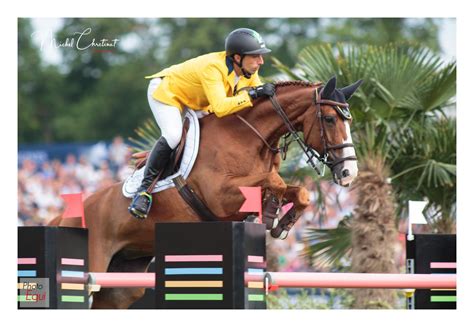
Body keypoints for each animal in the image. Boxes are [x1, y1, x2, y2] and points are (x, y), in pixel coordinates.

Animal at [49, 75, 362, 308]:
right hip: (92, 266)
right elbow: (275, 180)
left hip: (122, 285)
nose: (349, 173)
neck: (248, 137)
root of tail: (61, 218)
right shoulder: (220, 196)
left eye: (349, 121)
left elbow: (298, 193)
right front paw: (272, 212)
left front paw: (280, 222)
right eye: (330, 119)